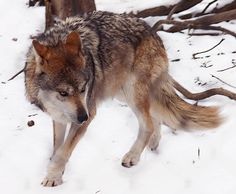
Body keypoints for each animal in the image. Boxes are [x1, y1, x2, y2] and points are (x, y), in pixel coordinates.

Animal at [24, 11, 223, 186]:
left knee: (148, 125)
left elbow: (63, 151)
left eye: (83, 89)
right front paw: (57, 172)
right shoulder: (59, 118)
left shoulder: (89, 109)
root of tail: (154, 32)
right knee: (153, 118)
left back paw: (133, 157)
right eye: (63, 93)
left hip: (132, 92)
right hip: (122, 93)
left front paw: (52, 177)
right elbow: (57, 148)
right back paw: (152, 144)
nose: (84, 118)